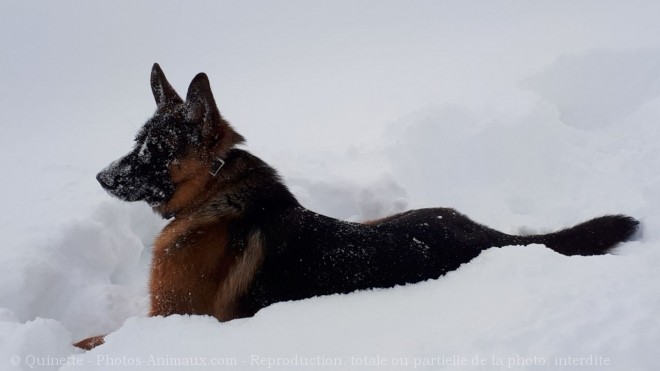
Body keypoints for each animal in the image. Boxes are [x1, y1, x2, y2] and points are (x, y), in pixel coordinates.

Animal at [73, 62, 640, 350]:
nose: (101, 178)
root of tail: (490, 237)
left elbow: (93, 340)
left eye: (156, 150)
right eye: (138, 142)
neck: (215, 193)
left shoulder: (167, 318)